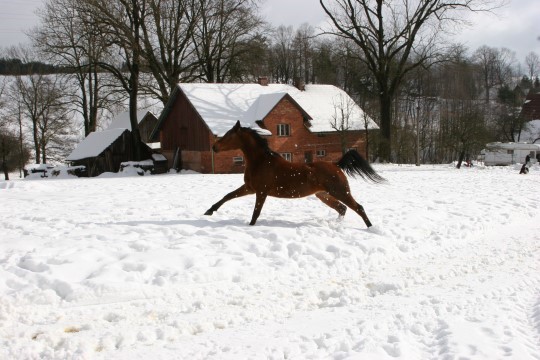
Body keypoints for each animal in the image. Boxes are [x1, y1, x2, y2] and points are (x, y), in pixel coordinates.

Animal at [202, 121, 384, 228]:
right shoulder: (249, 188)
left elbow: (256, 212)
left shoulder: (261, 191)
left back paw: (370, 228)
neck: (260, 161)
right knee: (342, 208)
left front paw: (251, 226)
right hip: (324, 195)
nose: (214, 147)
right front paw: (209, 211)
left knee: (358, 207)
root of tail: (336, 165)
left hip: (340, 191)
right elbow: (227, 196)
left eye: (228, 135)